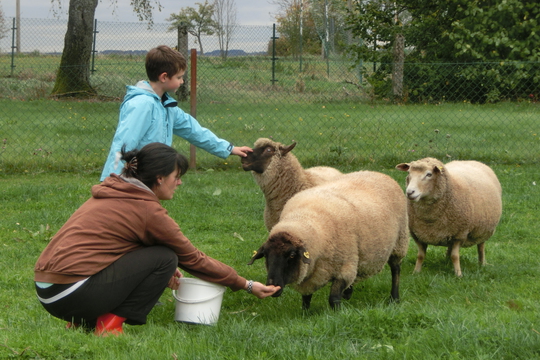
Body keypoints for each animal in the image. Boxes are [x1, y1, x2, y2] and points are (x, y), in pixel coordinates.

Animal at [247, 171, 408, 310]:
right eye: (266, 255)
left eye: (292, 255)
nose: (273, 286)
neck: (305, 219)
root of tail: (379, 173)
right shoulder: (312, 273)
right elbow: (306, 298)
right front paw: (305, 314)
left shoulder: (344, 267)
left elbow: (333, 298)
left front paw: (338, 313)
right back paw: (349, 293)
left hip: (399, 241)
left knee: (396, 269)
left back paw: (394, 298)